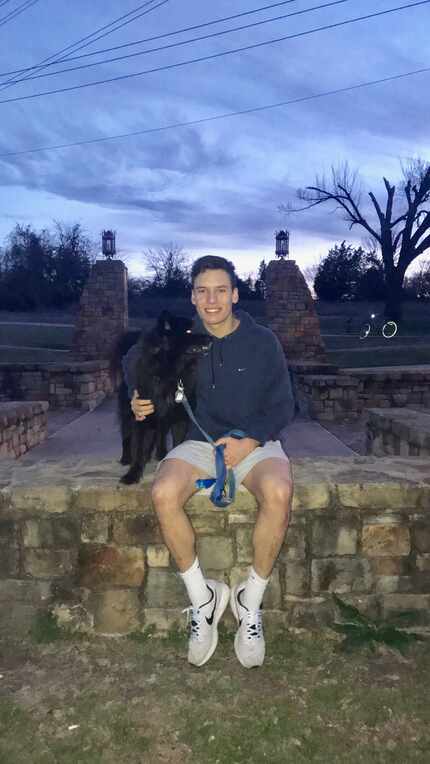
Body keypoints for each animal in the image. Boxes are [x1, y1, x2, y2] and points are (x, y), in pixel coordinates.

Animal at [115, 310, 211, 484]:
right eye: (188, 331)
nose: (211, 338)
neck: (170, 373)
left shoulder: (180, 418)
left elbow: (177, 443)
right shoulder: (143, 417)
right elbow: (138, 448)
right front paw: (133, 474)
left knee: (159, 435)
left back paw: (159, 454)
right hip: (128, 412)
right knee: (127, 435)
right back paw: (126, 458)